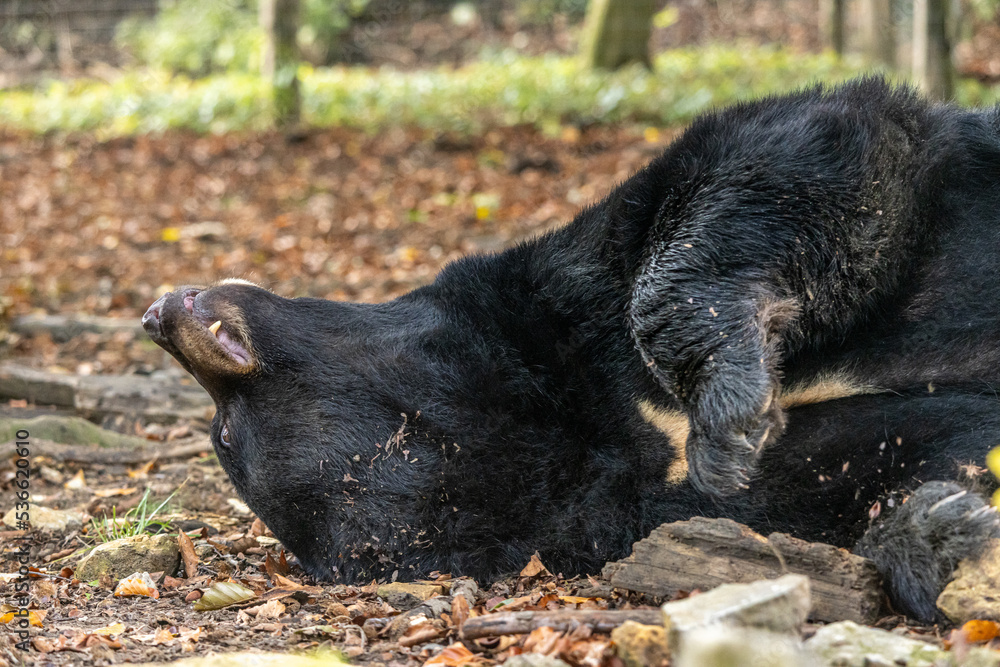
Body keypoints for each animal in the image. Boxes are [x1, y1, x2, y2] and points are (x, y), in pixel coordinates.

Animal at [142, 77, 1000, 623]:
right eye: (226, 437)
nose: (158, 311)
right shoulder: (647, 508)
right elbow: (889, 468)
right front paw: (949, 531)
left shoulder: (566, 292)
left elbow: (793, 154)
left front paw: (728, 419)